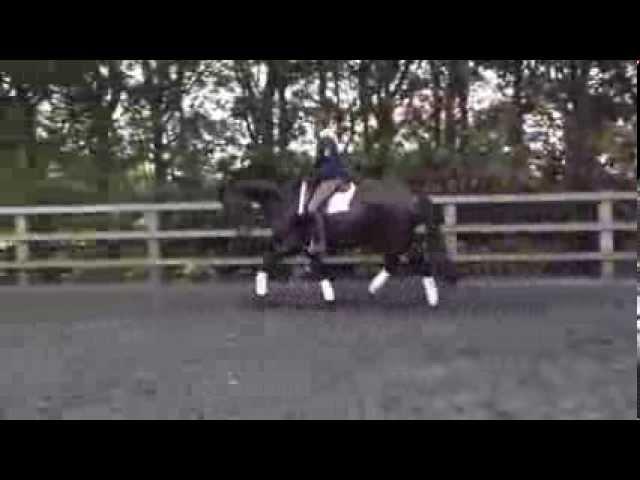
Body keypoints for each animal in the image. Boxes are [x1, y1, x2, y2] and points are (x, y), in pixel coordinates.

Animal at [222, 178, 458, 306]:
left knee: (414, 260)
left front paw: (261, 293)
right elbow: (318, 266)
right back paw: (374, 290)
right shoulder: (305, 247)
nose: (240, 234)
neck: (284, 203)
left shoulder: (291, 244)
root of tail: (409, 197)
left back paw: (431, 299)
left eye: (230, 206)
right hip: (390, 239)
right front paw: (329, 296)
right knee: (395, 262)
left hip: (396, 239)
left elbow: (267, 258)